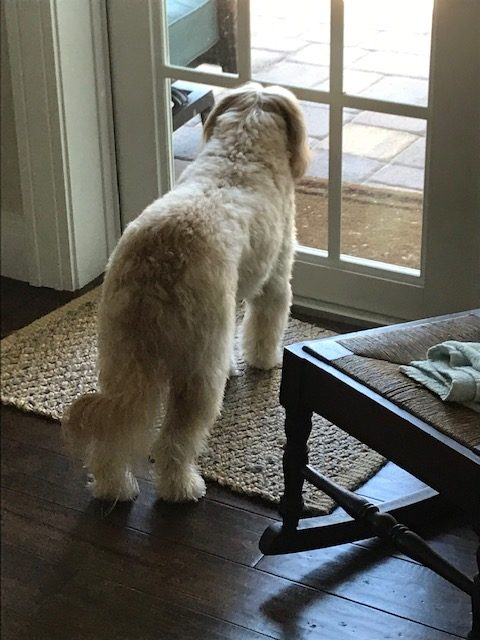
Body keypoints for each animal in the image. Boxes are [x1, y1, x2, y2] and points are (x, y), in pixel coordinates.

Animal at [62, 82, 310, 502]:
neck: (241, 148)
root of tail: (156, 264)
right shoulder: (274, 281)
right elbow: (264, 327)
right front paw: (265, 360)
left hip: (120, 356)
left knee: (112, 433)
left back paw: (114, 488)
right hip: (196, 369)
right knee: (174, 441)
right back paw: (182, 488)